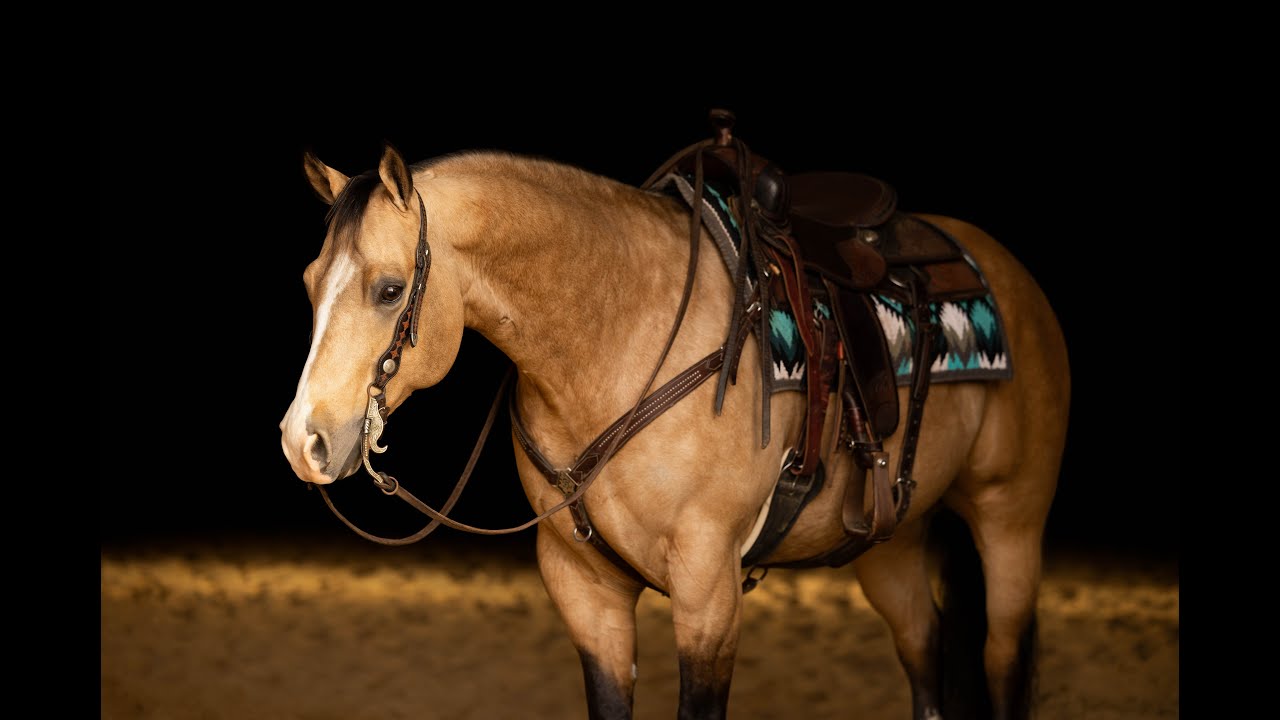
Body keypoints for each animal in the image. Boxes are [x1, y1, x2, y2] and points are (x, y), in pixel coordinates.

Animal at [278, 130, 1069, 720]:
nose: (303, 441)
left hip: (1010, 521)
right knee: (925, 652)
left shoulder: (708, 589)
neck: (618, 336)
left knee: (1001, 660)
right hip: (891, 541)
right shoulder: (584, 591)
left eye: (389, 290)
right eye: (312, 283)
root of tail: (1003, 270)